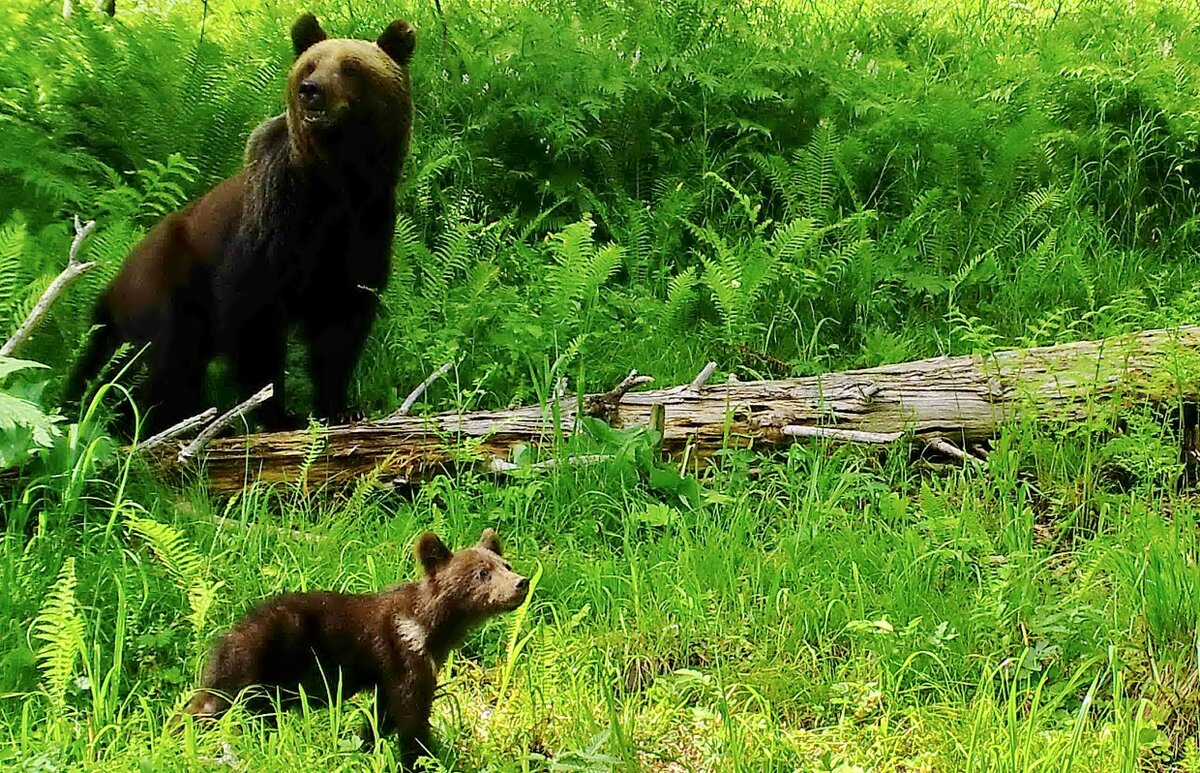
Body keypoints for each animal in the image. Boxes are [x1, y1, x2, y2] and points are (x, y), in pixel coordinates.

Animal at [66, 13, 422, 434]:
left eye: (350, 67)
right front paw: (279, 415)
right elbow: (254, 317)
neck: (335, 185)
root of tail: (114, 281)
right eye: (311, 64)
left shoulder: (364, 227)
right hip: (166, 283)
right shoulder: (274, 223)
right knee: (164, 359)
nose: (311, 91)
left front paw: (341, 408)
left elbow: (341, 324)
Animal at [176, 528, 525, 768]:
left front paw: (366, 746)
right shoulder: (403, 654)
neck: (431, 630)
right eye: (481, 573)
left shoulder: (400, 671)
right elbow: (411, 718)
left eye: (505, 564)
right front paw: (423, 759)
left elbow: (382, 717)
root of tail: (224, 638)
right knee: (209, 706)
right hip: (253, 666)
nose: (521, 583)